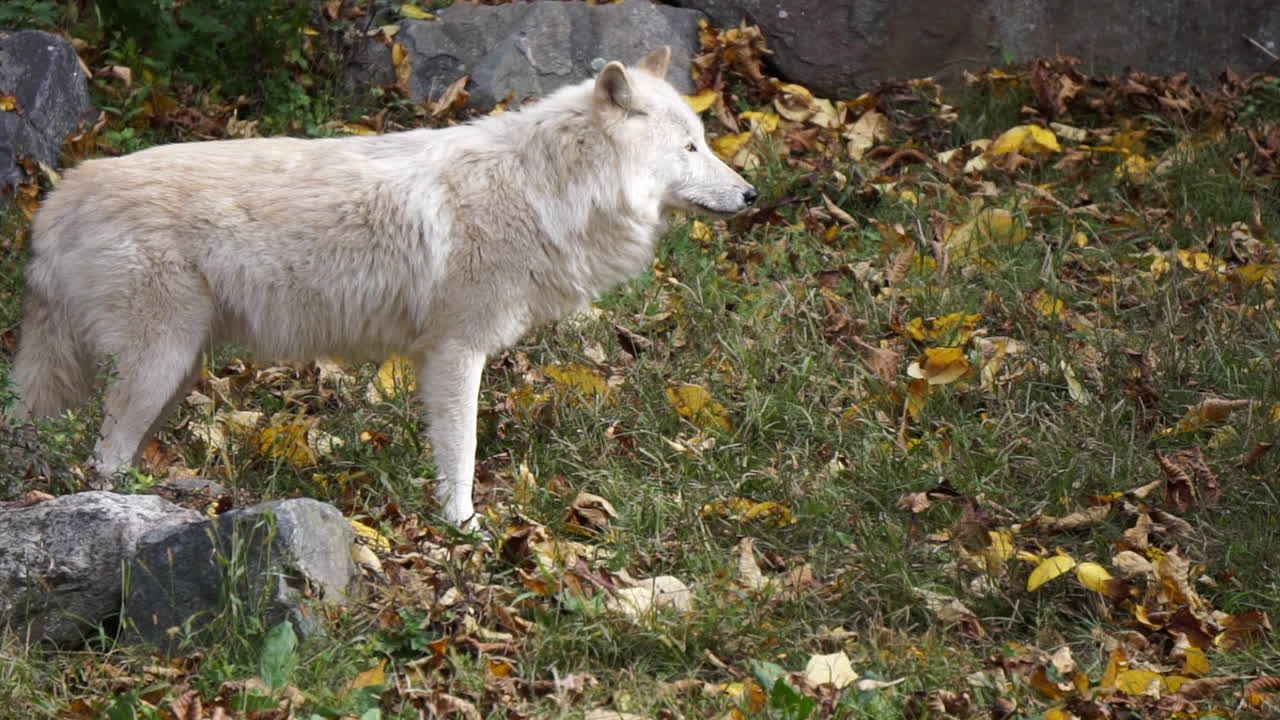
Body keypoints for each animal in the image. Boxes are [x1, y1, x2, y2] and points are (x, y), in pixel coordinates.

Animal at [11, 46, 756, 526]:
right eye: (690, 148)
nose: (752, 195)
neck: (544, 188)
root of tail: (57, 201)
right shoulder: (455, 352)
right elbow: (462, 453)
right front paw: (463, 530)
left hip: (177, 366)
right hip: (158, 363)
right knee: (103, 461)